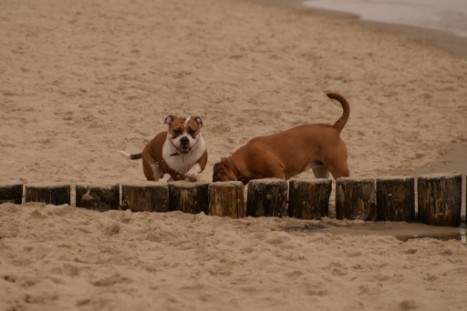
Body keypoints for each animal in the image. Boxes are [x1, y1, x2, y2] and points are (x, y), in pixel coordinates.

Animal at [214, 93, 350, 185]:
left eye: (218, 177)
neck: (243, 160)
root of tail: (334, 128)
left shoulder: (277, 172)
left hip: (339, 168)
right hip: (320, 170)